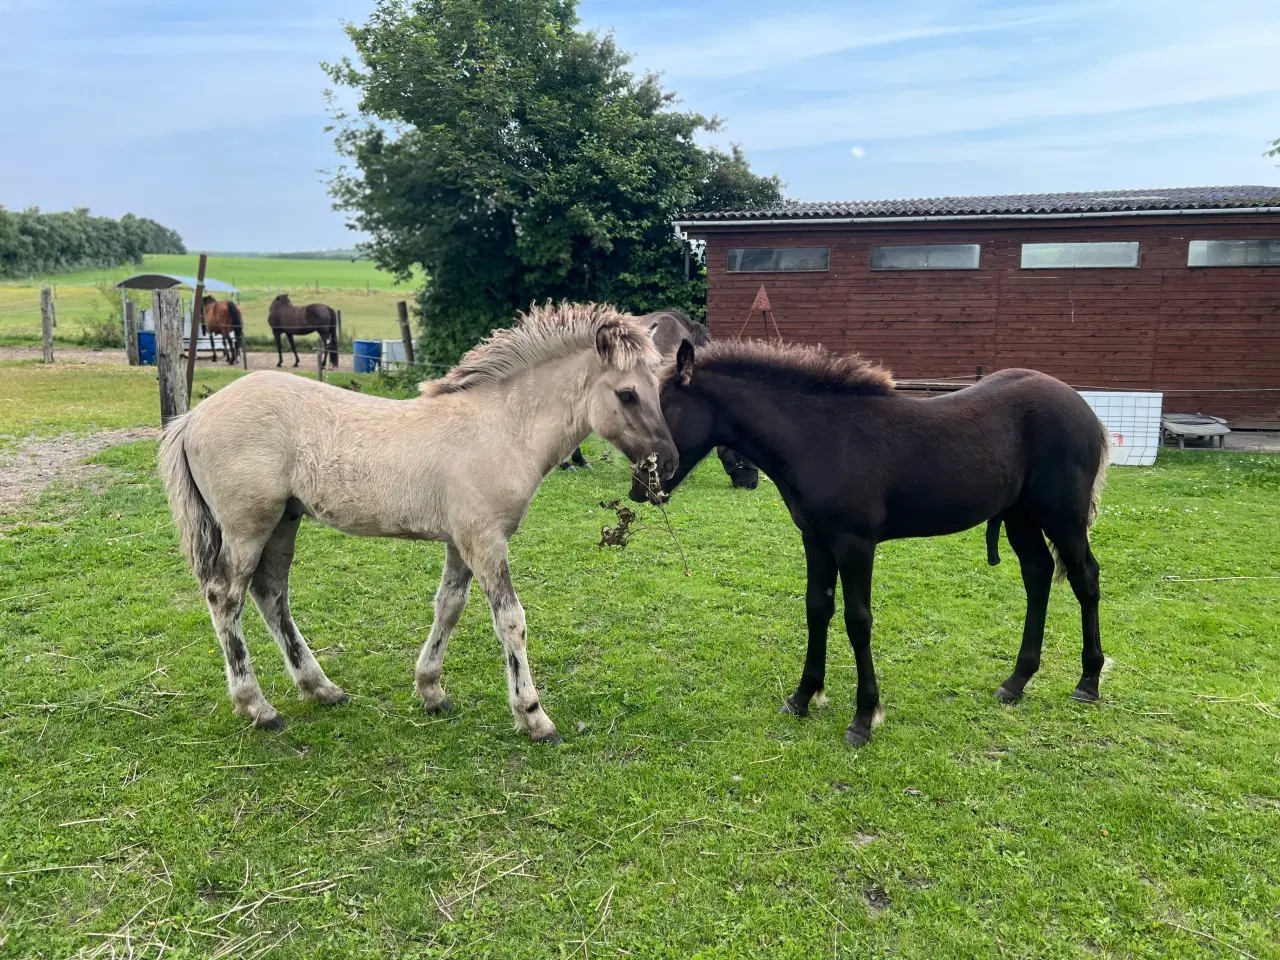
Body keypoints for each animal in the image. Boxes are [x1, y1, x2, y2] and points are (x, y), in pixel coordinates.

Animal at [161, 302, 680, 742]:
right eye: (627, 394)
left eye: (660, 390)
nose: (670, 463)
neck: (502, 428)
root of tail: (192, 418)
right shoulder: (485, 541)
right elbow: (511, 621)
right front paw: (534, 717)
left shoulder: (462, 542)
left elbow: (448, 607)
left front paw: (431, 691)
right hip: (248, 525)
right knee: (225, 597)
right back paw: (258, 707)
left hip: (284, 521)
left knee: (270, 594)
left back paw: (322, 689)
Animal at [640, 340, 1111, 752]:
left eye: (663, 409)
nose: (640, 486)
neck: (820, 436)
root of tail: (1085, 408)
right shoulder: (816, 539)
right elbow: (817, 609)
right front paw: (802, 697)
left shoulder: (855, 544)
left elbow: (857, 621)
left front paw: (864, 718)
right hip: (1020, 517)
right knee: (1038, 576)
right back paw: (1016, 682)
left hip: (1063, 519)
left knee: (1086, 578)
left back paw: (1088, 681)